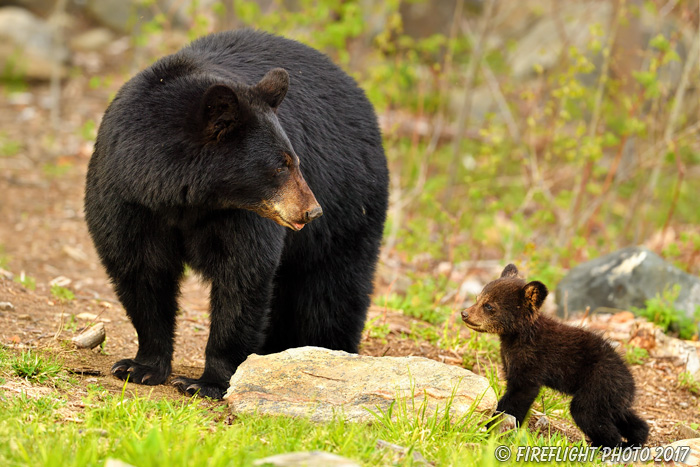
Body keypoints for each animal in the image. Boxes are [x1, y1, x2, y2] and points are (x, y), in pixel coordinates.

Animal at [85, 29, 392, 400]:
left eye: (295, 160)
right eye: (280, 166)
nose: (312, 210)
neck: (181, 197)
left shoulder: (239, 215)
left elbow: (242, 275)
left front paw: (206, 382)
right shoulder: (127, 199)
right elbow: (140, 270)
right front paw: (140, 366)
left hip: (350, 202)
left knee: (331, 286)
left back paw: (326, 349)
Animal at [462, 266, 648, 448]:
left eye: (489, 306)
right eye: (478, 298)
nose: (464, 313)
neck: (518, 336)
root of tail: (630, 383)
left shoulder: (532, 360)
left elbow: (520, 392)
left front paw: (492, 424)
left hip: (598, 385)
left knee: (588, 414)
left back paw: (607, 444)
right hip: (611, 397)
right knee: (622, 415)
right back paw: (636, 437)